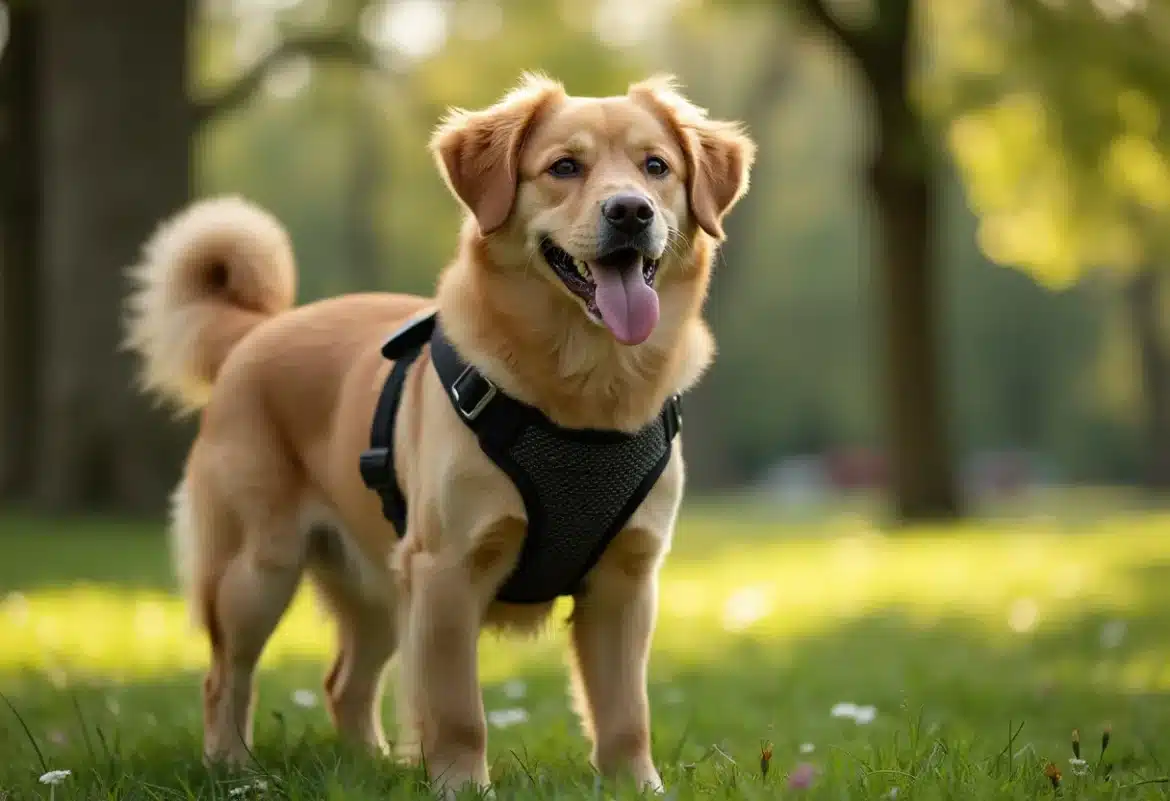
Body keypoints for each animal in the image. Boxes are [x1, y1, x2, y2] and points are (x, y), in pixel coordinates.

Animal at [123, 73, 753, 795]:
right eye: (564, 167)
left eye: (657, 167)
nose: (631, 212)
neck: (585, 395)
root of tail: (258, 331)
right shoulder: (449, 569)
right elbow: (457, 711)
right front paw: (460, 783)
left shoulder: (626, 580)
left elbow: (625, 714)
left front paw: (635, 785)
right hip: (257, 571)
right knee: (224, 677)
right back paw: (232, 767)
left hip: (380, 588)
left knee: (344, 682)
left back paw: (370, 765)